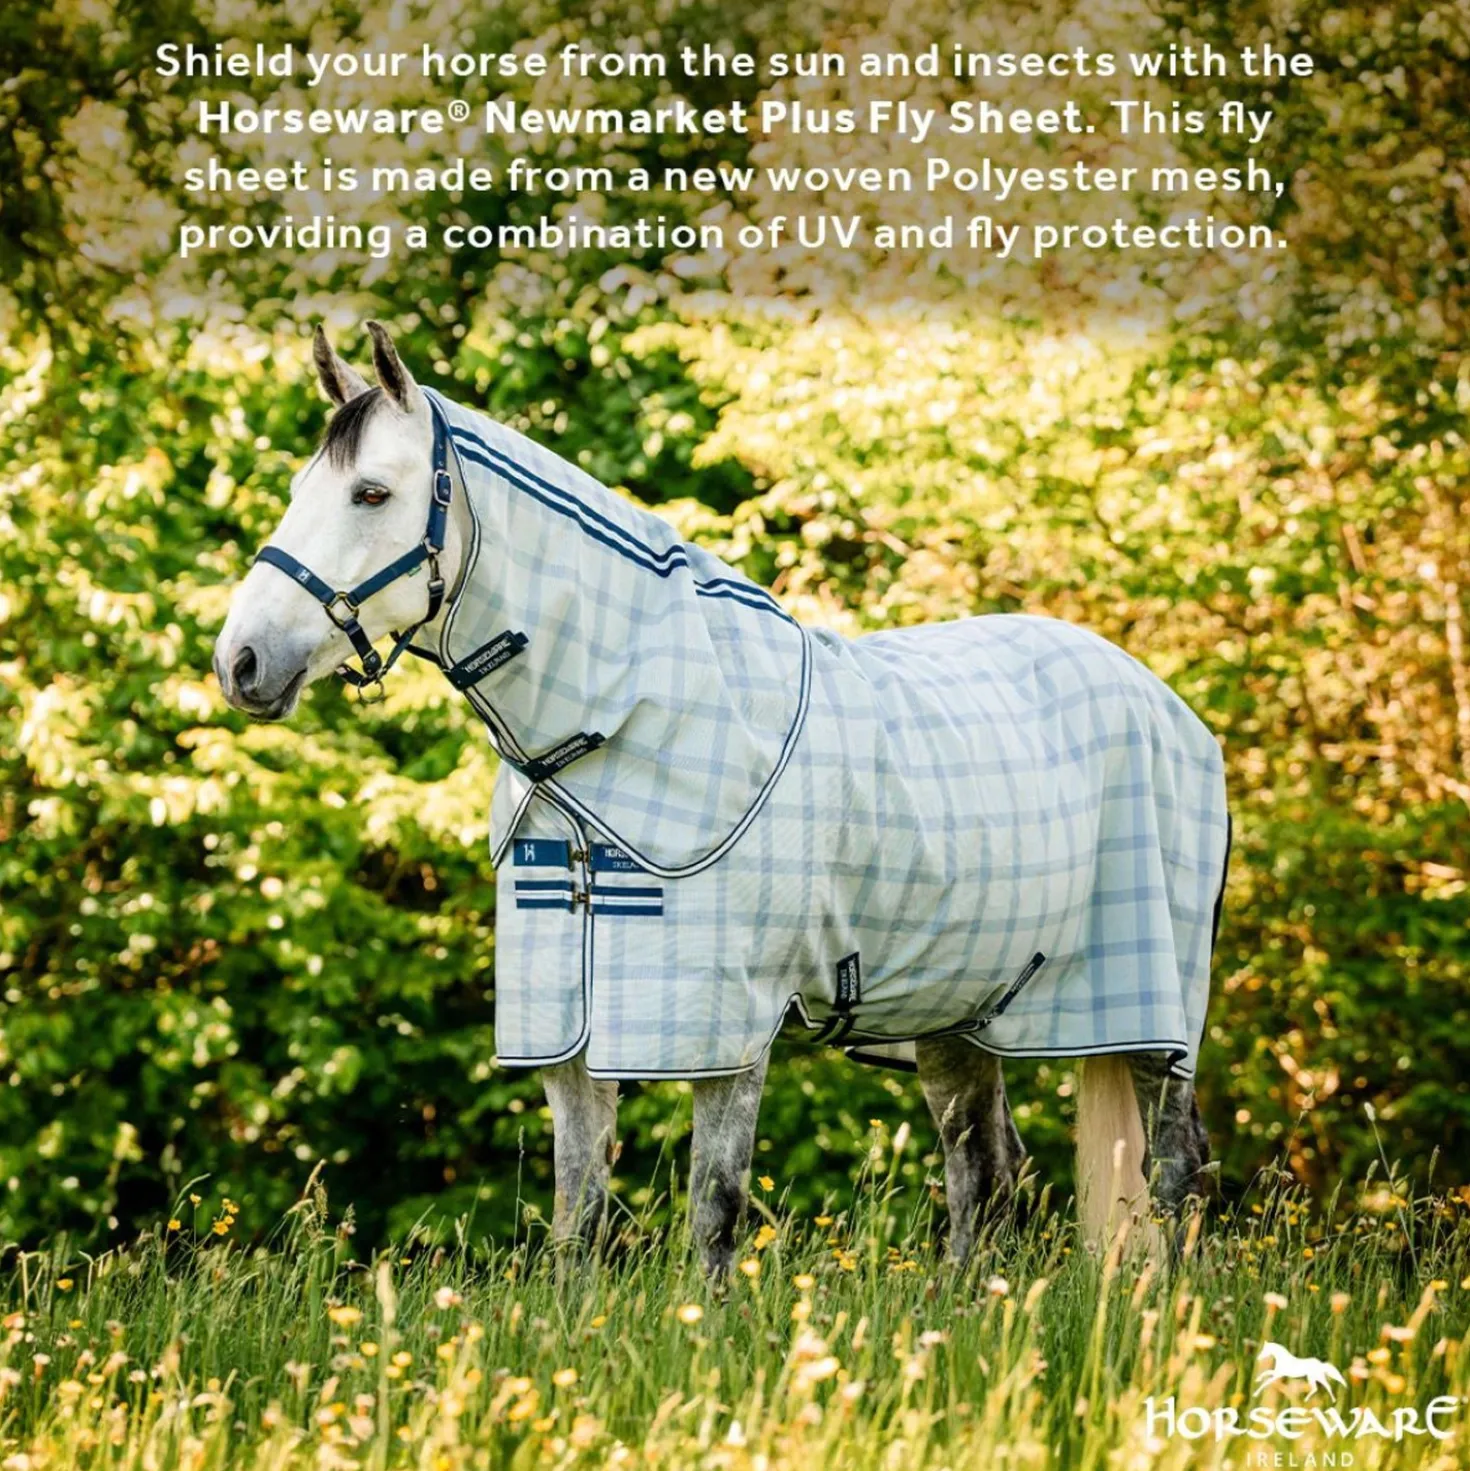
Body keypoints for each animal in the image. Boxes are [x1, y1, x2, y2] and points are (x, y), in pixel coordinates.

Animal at [214, 321, 1229, 1276]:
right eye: (303, 490)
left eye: (371, 494)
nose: (242, 662)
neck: (617, 734)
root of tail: (1171, 709)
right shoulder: (569, 1035)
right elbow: (577, 1216)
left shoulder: (726, 1026)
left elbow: (713, 1207)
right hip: (961, 1012)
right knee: (985, 1171)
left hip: (1155, 1020)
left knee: (1173, 1172)